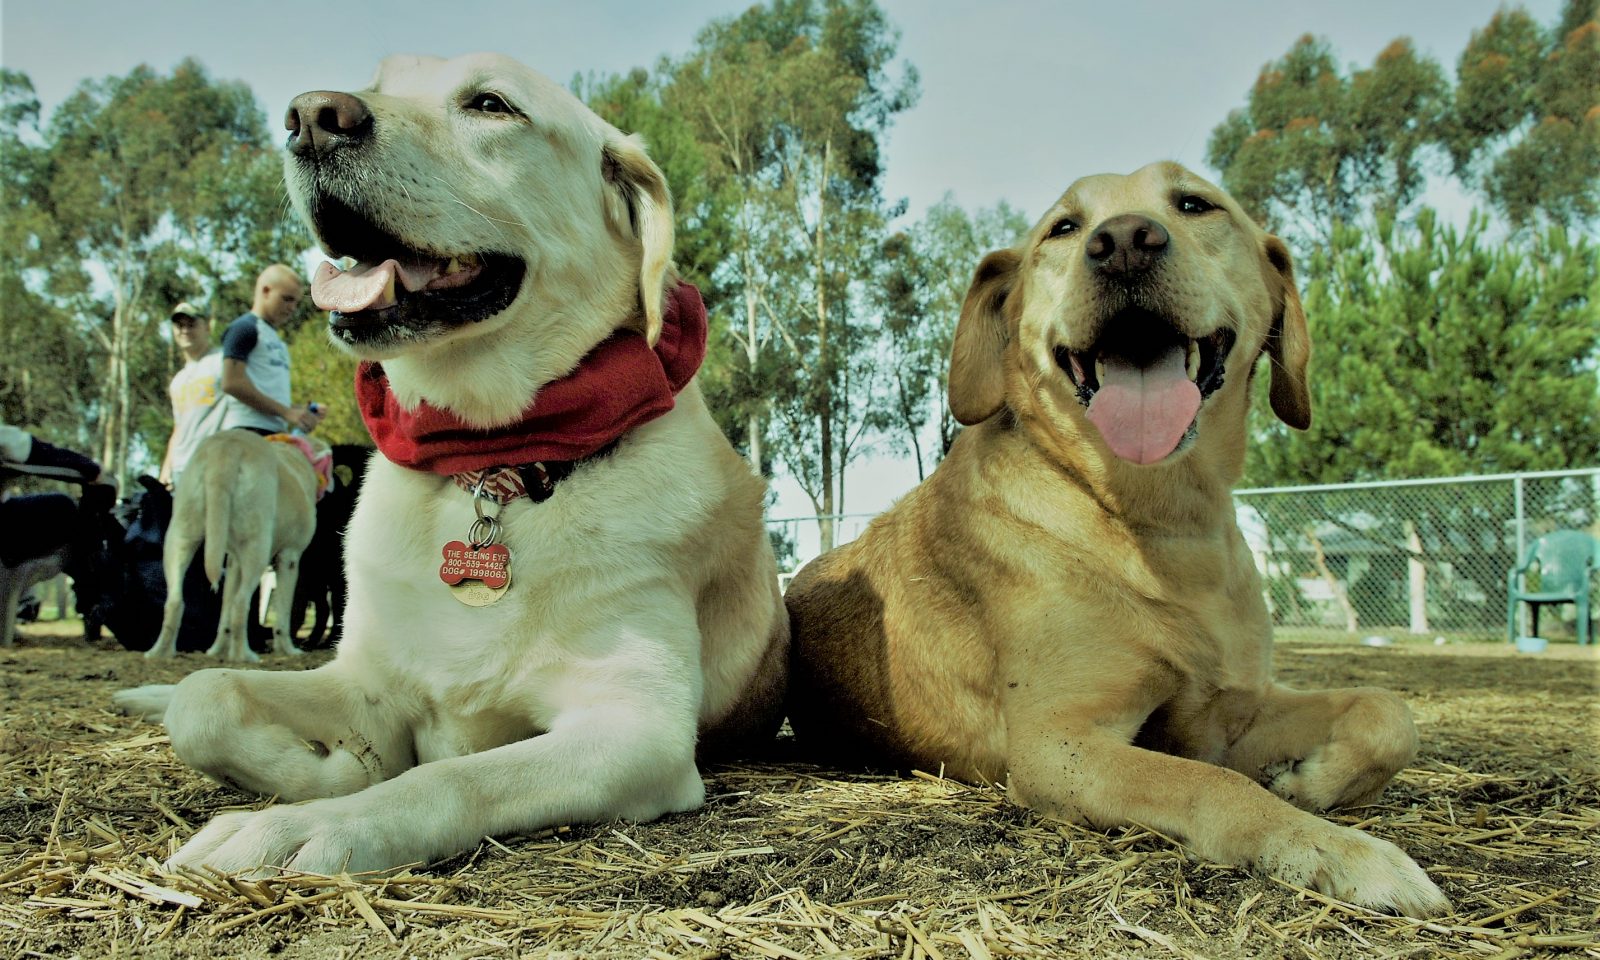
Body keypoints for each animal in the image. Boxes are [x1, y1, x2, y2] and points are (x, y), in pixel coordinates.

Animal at [150, 432, 321, 662]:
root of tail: (227, 445)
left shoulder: (233, 563)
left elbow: (225, 616)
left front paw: (216, 650)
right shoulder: (289, 557)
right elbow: (283, 618)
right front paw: (288, 649)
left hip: (180, 538)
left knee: (174, 601)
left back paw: (160, 653)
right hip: (256, 550)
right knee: (241, 603)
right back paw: (243, 655)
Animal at [784, 163, 1452, 915]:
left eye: (1195, 204)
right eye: (1064, 228)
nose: (1125, 243)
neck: (1160, 523)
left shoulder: (1221, 714)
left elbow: (1389, 711)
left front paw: (1310, 781)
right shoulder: (1058, 744)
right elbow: (1212, 783)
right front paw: (1340, 853)